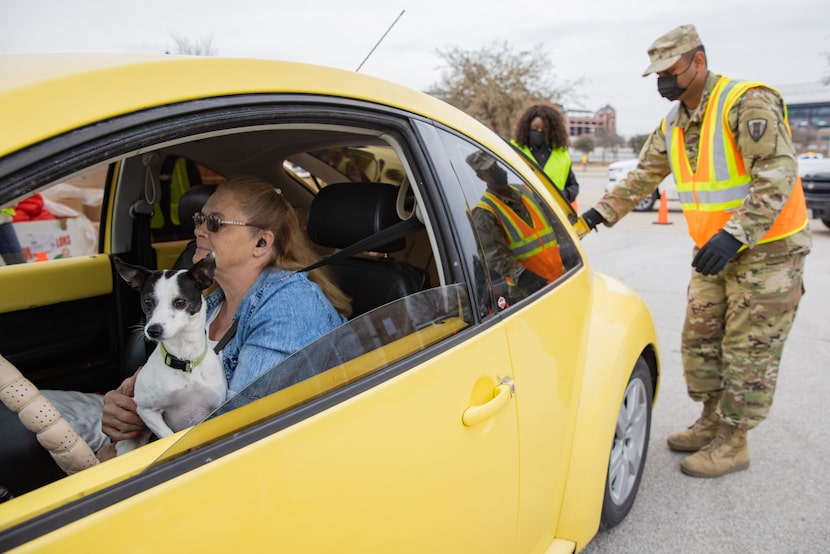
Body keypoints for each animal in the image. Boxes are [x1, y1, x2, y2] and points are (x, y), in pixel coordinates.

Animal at [114, 254, 226, 452]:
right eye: (148, 302)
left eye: (180, 302)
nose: (153, 330)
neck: (185, 359)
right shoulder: (146, 410)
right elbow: (168, 437)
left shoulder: (218, 408)